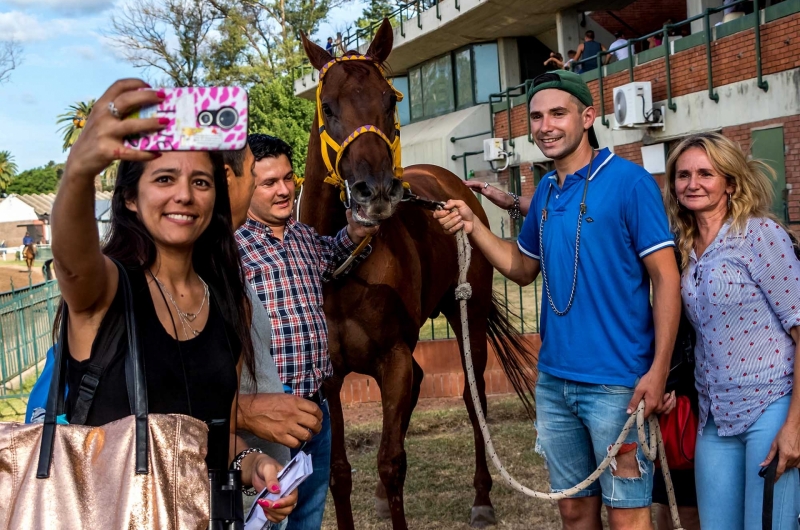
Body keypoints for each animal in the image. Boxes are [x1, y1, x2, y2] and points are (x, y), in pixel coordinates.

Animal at [300, 19, 536, 524]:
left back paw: (482, 498)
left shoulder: (393, 358)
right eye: (328, 107)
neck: (343, 272)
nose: (376, 191)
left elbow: (391, 463)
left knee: (472, 397)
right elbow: (339, 473)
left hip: (468, 315)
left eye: (390, 100)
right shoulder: (331, 375)